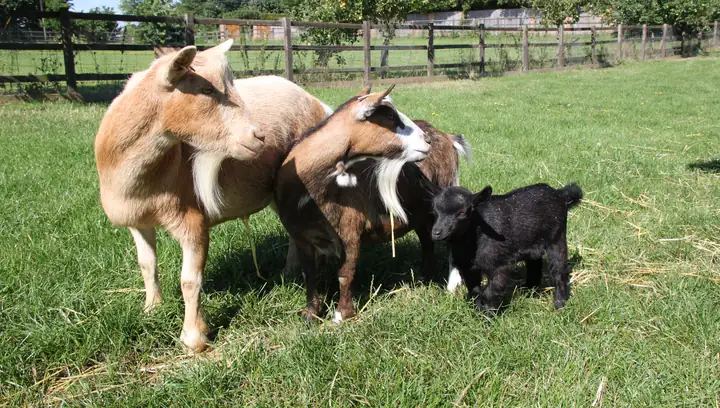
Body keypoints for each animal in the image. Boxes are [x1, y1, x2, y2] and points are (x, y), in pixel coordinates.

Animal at [95, 40, 330, 352]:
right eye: (206, 90)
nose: (259, 136)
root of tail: (317, 102)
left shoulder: (192, 219)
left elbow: (190, 280)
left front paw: (194, 338)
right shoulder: (137, 220)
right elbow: (147, 264)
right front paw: (152, 308)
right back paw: (289, 272)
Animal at [274, 85, 434, 323]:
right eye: (389, 116)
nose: (427, 141)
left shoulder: (349, 230)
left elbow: (345, 274)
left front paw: (341, 315)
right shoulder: (301, 236)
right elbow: (309, 273)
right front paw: (310, 313)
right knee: (427, 241)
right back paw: (424, 276)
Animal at [431, 183, 583, 312]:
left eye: (462, 212)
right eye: (435, 210)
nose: (436, 232)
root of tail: (560, 194)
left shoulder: (498, 265)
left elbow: (491, 292)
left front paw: (488, 318)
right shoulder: (469, 268)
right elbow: (475, 291)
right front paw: (478, 312)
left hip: (557, 237)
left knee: (559, 271)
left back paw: (559, 305)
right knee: (534, 263)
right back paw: (529, 290)